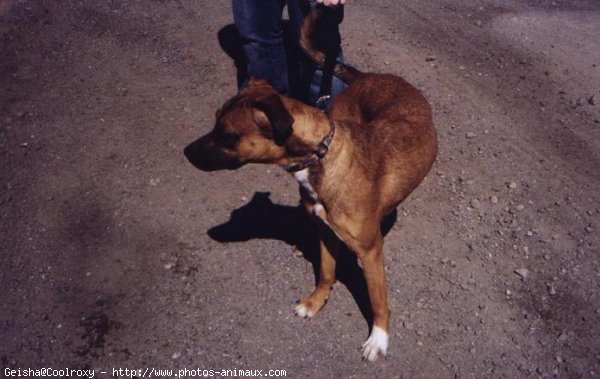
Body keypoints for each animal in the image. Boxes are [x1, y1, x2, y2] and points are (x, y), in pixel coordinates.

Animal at [183, 6, 436, 362]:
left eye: (228, 135)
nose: (186, 152)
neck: (321, 158)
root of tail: (365, 76)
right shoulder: (326, 233)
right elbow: (327, 272)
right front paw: (317, 302)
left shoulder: (371, 253)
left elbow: (378, 300)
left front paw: (379, 338)